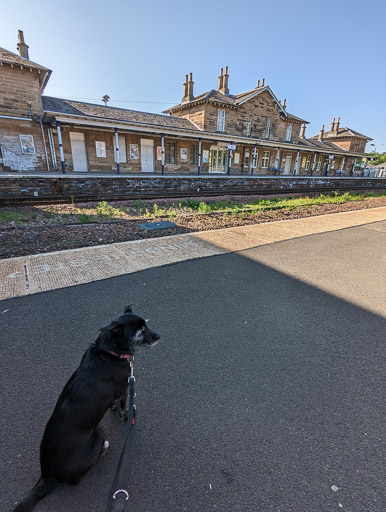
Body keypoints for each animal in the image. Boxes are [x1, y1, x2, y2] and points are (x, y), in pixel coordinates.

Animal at [12, 306, 160, 510]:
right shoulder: (124, 388)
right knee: (77, 479)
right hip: (98, 433)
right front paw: (125, 416)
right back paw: (103, 449)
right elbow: (123, 405)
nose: (159, 336)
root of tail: (48, 476)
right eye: (140, 332)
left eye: (146, 325)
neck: (110, 351)